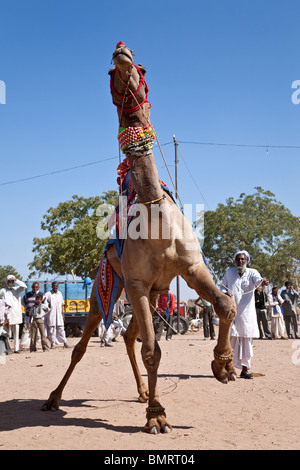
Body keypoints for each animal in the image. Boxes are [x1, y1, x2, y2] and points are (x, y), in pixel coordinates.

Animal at [41, 42, 237, 436]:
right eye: (108, 72)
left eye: (142, 67)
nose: (121, 53)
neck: (156, 218)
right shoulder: (134, 280)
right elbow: (153, 350)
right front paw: (157, 416)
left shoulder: (190, 268)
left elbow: (225, 304)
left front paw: (223, 365)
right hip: (108, 287)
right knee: (84, 345)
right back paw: (54, 398)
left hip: (154, 292)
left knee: (129, 337)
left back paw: (143, 391)